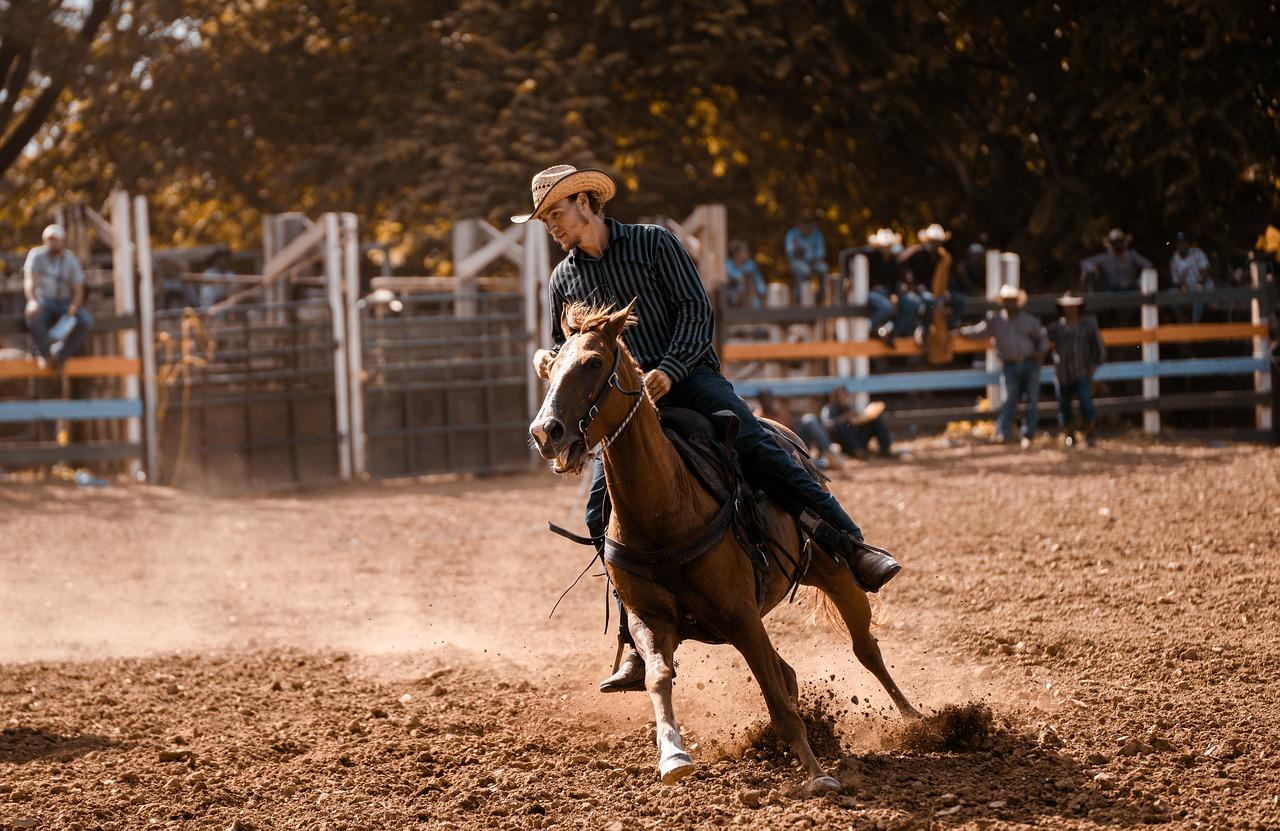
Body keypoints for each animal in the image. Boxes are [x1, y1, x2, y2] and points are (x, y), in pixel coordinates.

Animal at [529, 300, 921, 793]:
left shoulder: (740, 615)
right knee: (790, 671)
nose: (546, 432)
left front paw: (817, 777)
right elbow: (659, 678)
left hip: (831, 572)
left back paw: (916, 720)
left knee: (864, 647)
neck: (664, 510)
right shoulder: (651, 619)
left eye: (594, 363)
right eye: (550, 367)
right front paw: (673, 756)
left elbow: (777, 702)